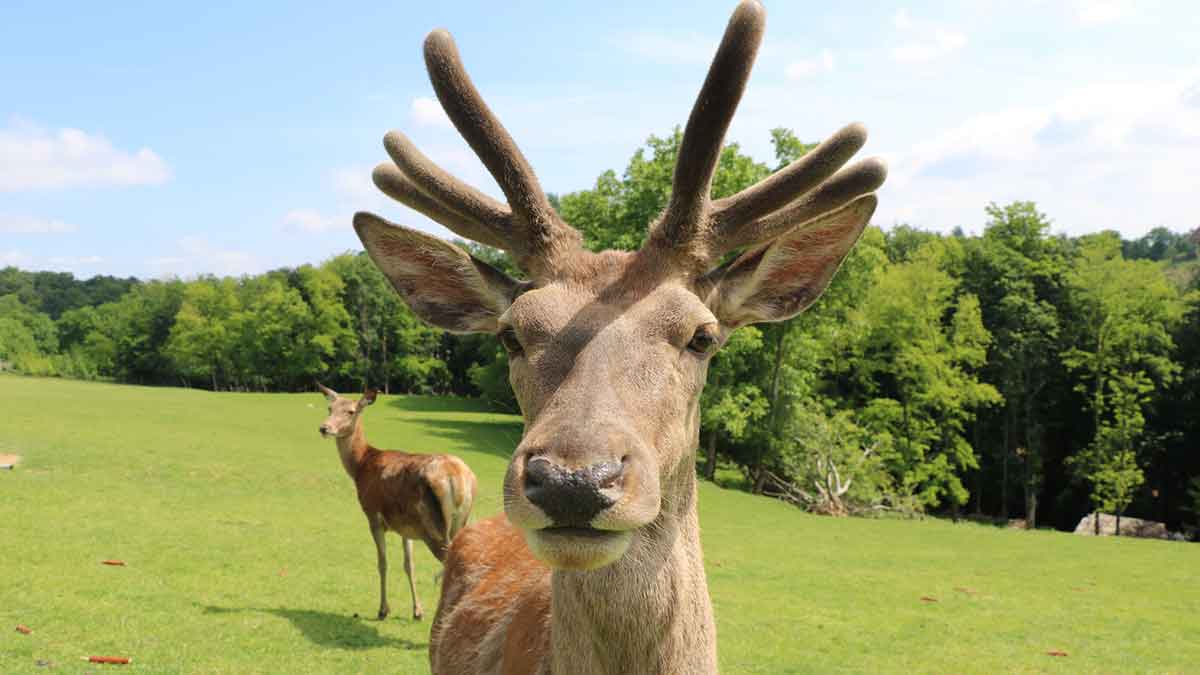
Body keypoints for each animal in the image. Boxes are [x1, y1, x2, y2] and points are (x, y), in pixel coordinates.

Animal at [319, 384, 477, 619]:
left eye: (350, 411)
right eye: (330, 408)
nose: (324, 428)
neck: (361, 466)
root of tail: (456, 477)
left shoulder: (372, 515)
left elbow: (382, 562)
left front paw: (383, 609)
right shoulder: (406, 526)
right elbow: (408, 564)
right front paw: (417, 610)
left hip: (433, 526)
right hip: (459, 521)